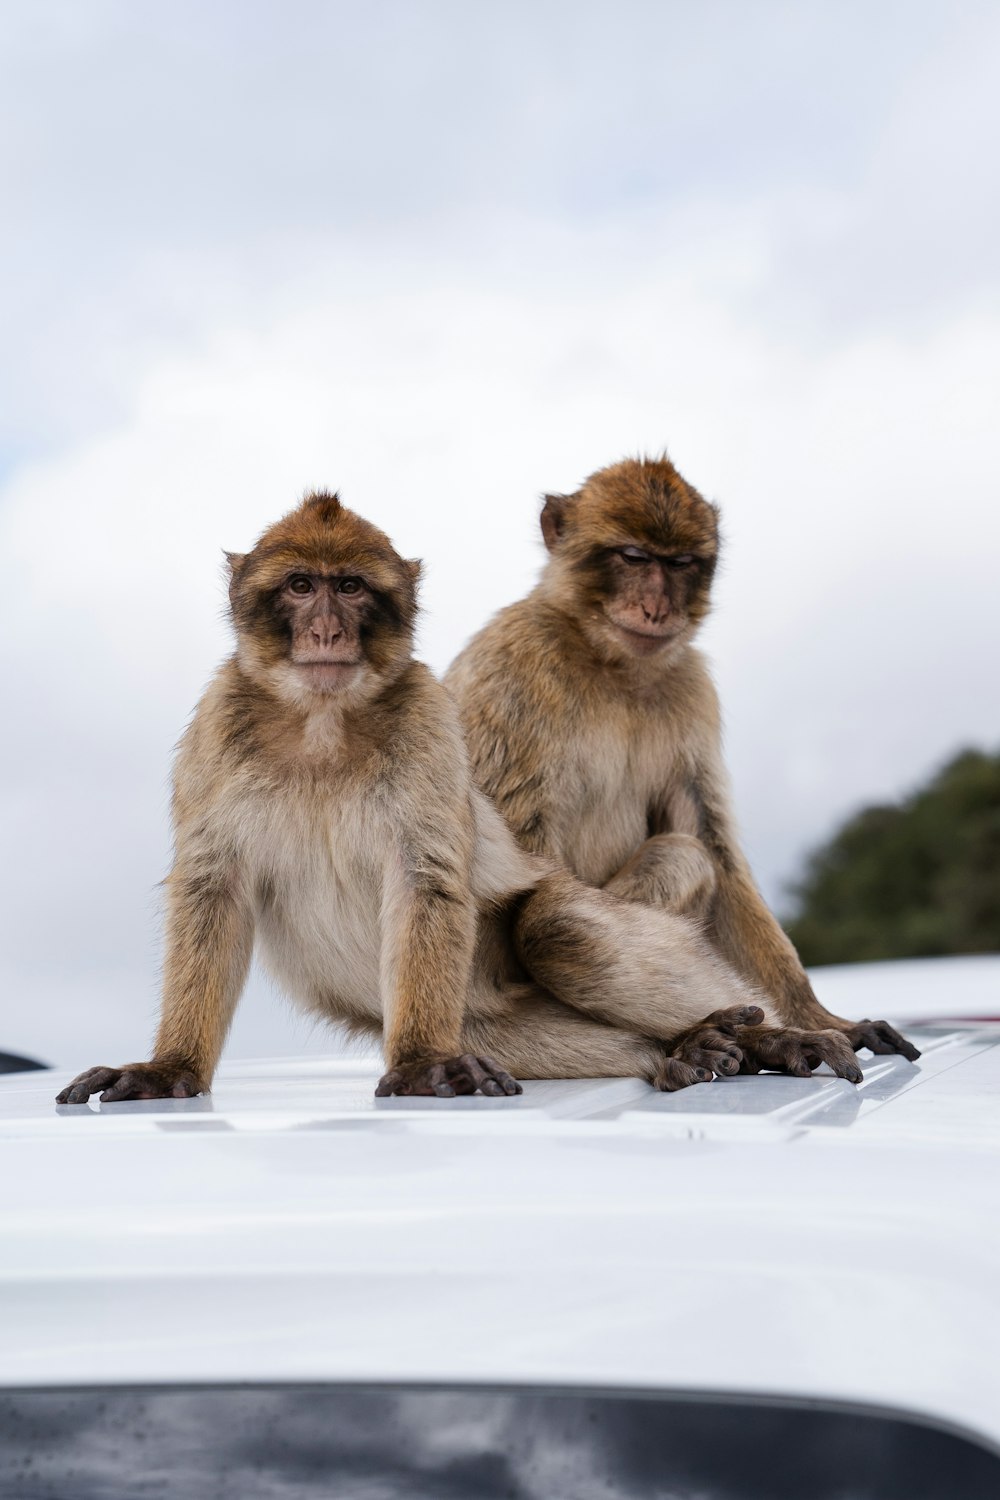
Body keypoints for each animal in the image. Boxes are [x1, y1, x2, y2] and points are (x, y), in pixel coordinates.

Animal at [56, 486, 869, 1110]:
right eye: (300, 586)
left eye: (350, 587)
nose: (327, 629)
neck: (321, 721)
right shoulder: (214, 736)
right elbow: (213, 890)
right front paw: (170, 1068)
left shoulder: (428, 724)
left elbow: (429, 879)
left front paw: (420, 1064)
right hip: (487, 1021)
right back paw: (679, 1047)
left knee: (561, 925)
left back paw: (761, 1033)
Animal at [446, 453, 923, 1068]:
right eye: (633, 557)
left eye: (679, 564)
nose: (657, 608)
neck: (608, 661)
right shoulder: (513, 671)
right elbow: (523, 878)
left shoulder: (690, 687)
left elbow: (711, 842)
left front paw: (816, 1014)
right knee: (565, 921)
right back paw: (729, 1038)